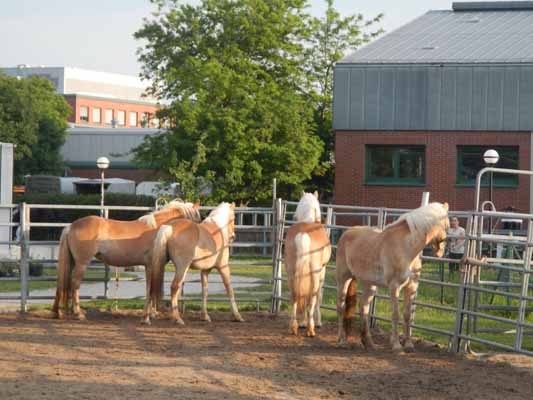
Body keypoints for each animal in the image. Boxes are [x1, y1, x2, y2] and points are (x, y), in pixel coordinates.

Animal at [53, 200, 201, 318]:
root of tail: (71, 226)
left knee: (66, 282)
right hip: (82, 263)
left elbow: (150, 288)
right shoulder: (151, 265)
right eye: (198, 220)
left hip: (73, 262)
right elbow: (150, 288)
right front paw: (149, 314)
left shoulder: (150, 266)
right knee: (75, 283)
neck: (160, 229)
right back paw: (78, 313)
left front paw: (151, 313)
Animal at [284, 192, 330, 336]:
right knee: (313, 296)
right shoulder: (323, 270)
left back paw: (294, 326)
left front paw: (302, 323)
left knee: (295, 295)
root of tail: (303, 234)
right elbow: (319, 295)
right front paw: (318, 321)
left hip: (291, 273)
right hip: (315, 273)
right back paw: (311, 328)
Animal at [334, 202, 446, 352]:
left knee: (363, 307)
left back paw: (369, 343)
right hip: (343, 278)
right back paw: (342, 341)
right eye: (446, 223)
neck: (406, 248)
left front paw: (409, 345)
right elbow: (395, 314)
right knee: (341, 307)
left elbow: (407, 315)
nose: (441, 250)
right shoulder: (394, 286)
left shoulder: (411, 287)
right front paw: (397, 345)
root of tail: (346, 233)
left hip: (369, 284)